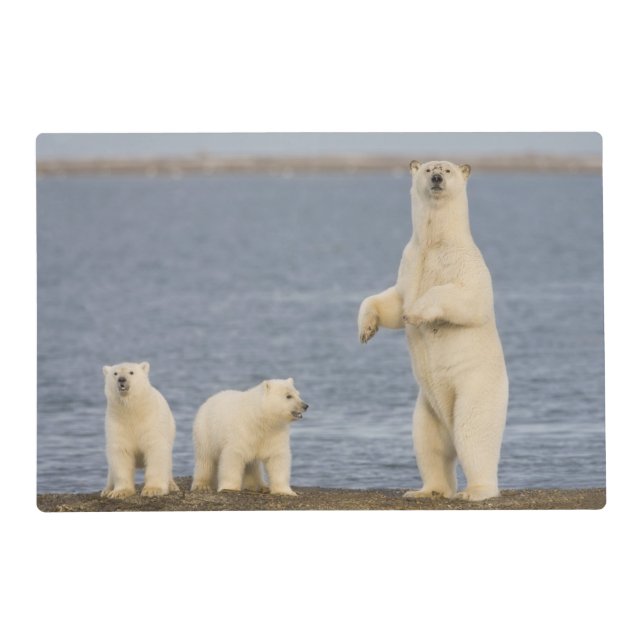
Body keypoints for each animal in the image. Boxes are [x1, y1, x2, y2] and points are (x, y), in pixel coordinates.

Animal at [101, 361, 179, 498]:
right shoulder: (117, 424)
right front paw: (120, 492)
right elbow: (121, 452)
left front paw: (153, 489)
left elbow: (155, 450)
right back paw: (106, 490)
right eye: (115, 373)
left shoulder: (151, 422)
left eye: (131, 372)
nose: (122, 379)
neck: (132, 410)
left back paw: (172, 485)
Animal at [358, 160, 508, 501]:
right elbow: (391, 301)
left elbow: (467, 299)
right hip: (427, 408)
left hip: (476, 390)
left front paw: (416, 313)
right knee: (429, 444)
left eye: (448, 170)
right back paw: (425, 490)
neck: (435, 243)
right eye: (428, 169)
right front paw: (366, 328)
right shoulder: (409, 262)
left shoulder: (467, 265)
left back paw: (475, 491)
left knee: (473, 434)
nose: (437, 178)